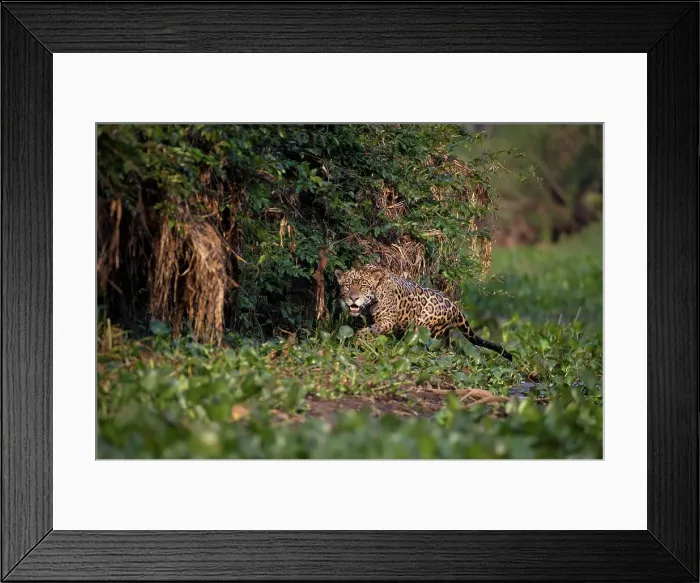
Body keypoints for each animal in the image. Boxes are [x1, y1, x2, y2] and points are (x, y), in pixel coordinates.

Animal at [334, 264, 513, 362]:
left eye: (363, 286)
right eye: (347, 286)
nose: (354, 298)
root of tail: (455, 307)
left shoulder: (387, 320)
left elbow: (372, 330)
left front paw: (360, 339)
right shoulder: (361, 319)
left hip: (426, 330)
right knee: (447, 347)